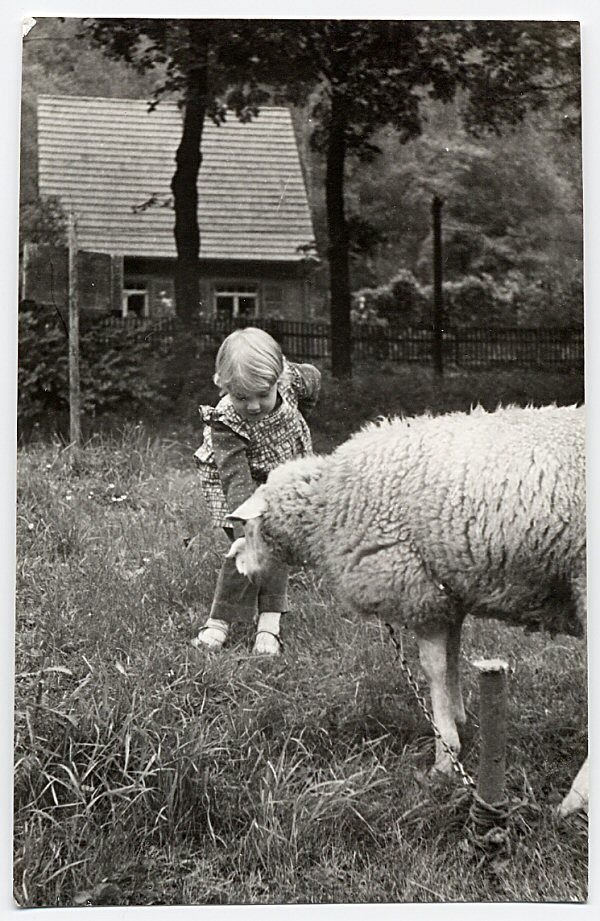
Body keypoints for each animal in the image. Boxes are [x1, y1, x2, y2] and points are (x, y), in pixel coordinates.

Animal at [225, 406, 584, 816]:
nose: (238, 565)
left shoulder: (417, 590)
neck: (330, 501)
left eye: (249, 527)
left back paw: (574, 802)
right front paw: (459, 721)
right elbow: (453, 658)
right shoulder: (446, 593)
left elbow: (434, 669)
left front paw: (445, 757)